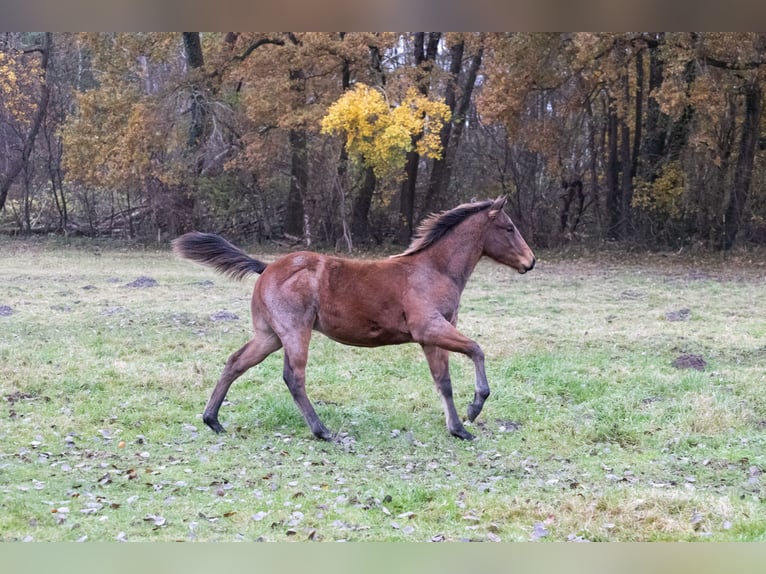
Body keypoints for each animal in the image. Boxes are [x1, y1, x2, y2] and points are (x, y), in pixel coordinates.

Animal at [172, 196, 535, 441]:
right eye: (509, 227)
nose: (530, 262)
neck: (433, 270)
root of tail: (267, 267)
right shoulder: (430, 328)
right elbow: (476, 350)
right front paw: (474, 408)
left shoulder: (434, 336)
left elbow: (443, 381)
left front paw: (458, 428)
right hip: (295, 331)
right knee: (293, 377)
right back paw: (322, 430)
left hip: (269, 336)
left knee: (235, 362)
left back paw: (213, 420)